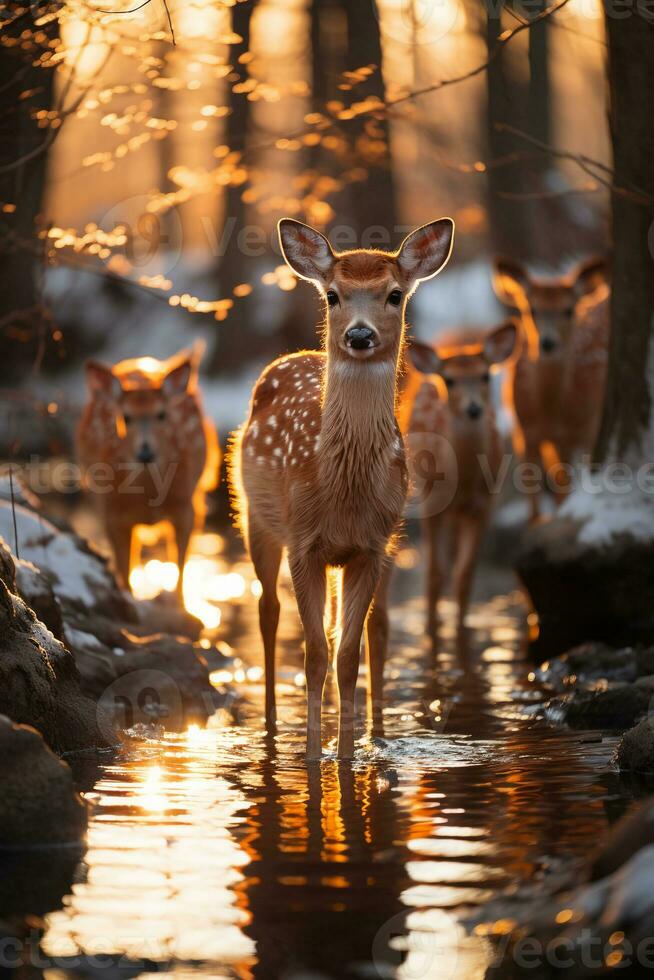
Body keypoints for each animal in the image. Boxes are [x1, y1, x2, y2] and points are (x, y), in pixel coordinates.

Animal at [77, 340, 220, 592]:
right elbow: (125, 574)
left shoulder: (186, 506)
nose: (145, 452)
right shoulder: (112, 513)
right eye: (125, 417)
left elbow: (180, 572)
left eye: (161, 414)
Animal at [229, 218, 456, 760]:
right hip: (255, 518)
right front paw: (313, 756)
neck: (341, 488)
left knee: (346, 629)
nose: (359, 334)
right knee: (268, 612)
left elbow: (347, 652)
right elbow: (314, 651)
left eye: (394, 294)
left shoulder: (370, 547)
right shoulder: (303, 543)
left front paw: (349, 754)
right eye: (333, 295)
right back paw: (270, 726)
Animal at [410, 318, 524, 632]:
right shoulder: (431, 502)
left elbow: (465, 573)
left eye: (485, 375)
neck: (462, 482)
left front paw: (461, 627)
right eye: (450, 381)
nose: (473, 409)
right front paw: (430, 628)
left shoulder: (484, 505)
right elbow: (435, 572)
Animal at [494, 258, 612, 520]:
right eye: (532, 309)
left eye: (569, 310)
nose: (548, 343)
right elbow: (533, 491)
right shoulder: (524, 432)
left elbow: (564, 486)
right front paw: (537, 522)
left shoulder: (579, 431)